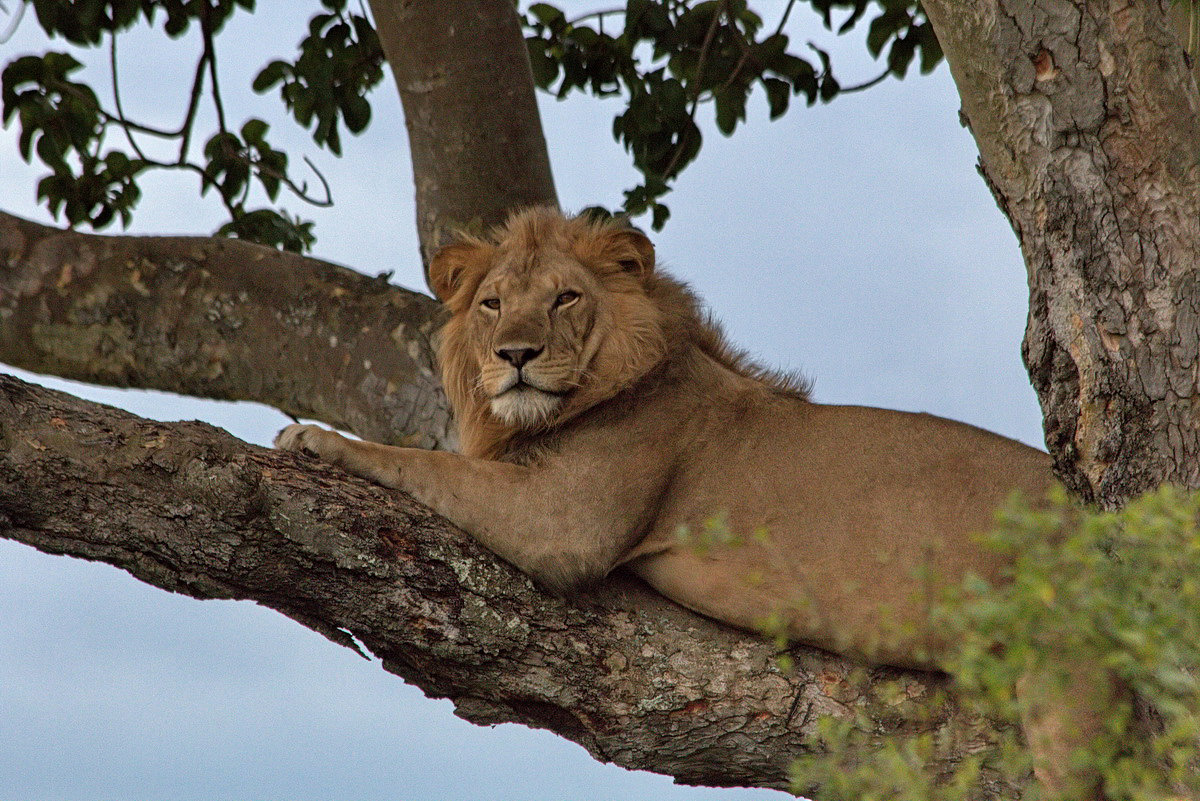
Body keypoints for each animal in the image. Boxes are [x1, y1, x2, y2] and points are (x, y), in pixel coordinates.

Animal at [274, 208, 1099, 801]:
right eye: (492, 304)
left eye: (565, 298)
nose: (515, 355)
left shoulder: (563, 522)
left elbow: (424, 460)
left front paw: (318, 438)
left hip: (1066, 685)